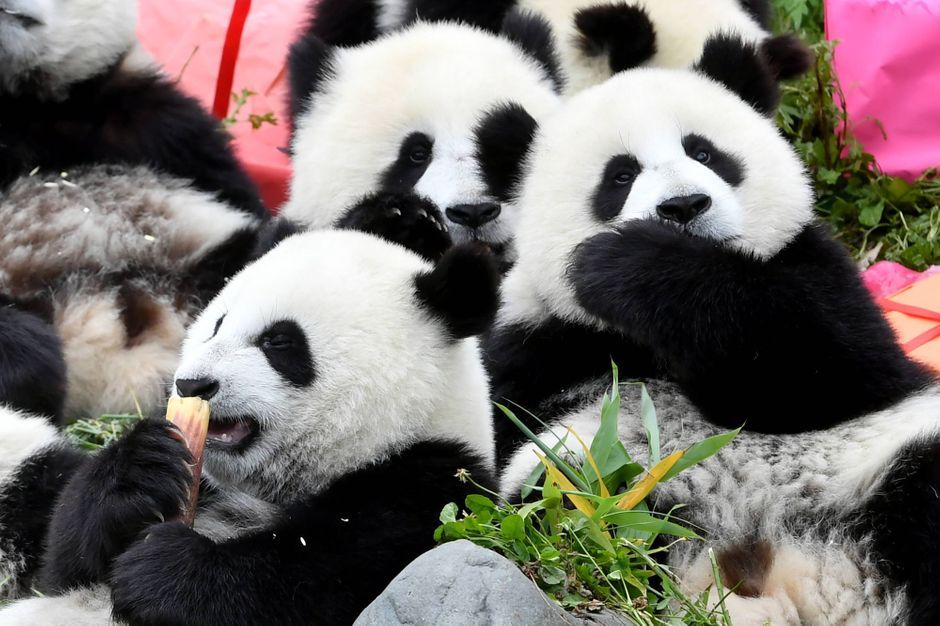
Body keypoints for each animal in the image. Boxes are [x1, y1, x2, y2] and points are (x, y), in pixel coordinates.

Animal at [0, 229, 499, 625]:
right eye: (217, 325)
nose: (192, 383)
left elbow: (312, 581)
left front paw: (163, 570)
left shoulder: (428, 488)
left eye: (278, 341)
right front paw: (138, 469)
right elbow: (58, 568)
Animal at [493, 38, 940, 623]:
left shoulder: (815, 264)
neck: (638, 337)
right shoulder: (533, 340)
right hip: (600, 483)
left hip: (882, 459)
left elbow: (824, 369)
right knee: (581, 511)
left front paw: (631, 262)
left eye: (705, 153)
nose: (683, 206)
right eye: (619, 176)